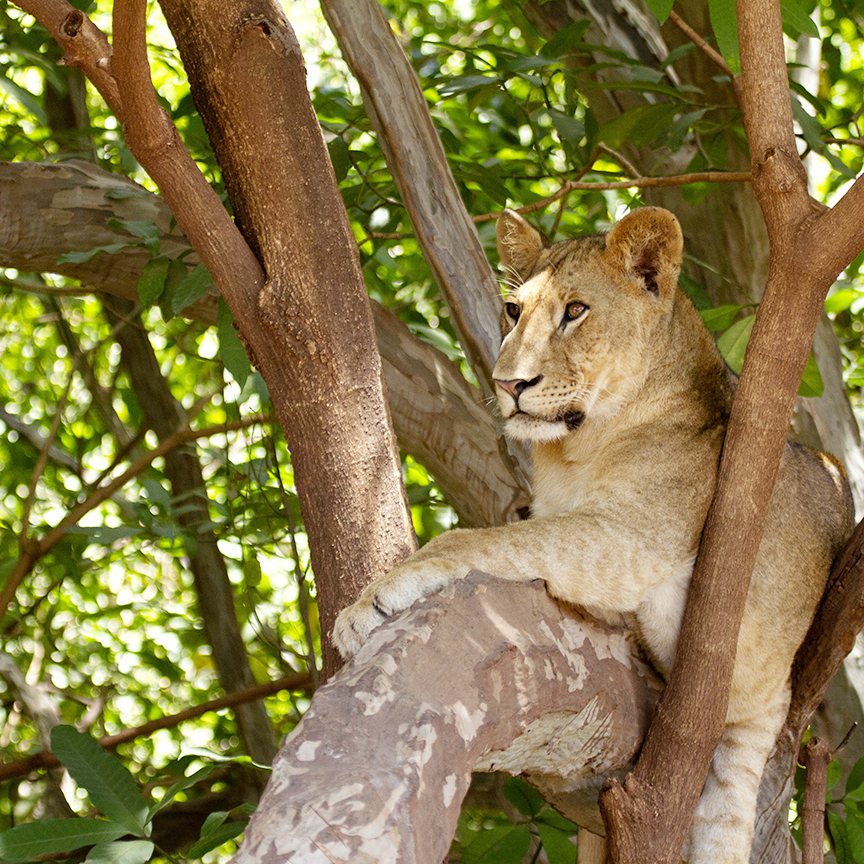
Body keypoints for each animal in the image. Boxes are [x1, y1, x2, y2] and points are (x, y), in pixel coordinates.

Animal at [334, 206, 852, 860]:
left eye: (575, 310)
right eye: (513, 311)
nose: (509, 385)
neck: (574, 450)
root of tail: (777, 700)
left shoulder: (630, 537)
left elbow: (481, 540)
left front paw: (370, 601)